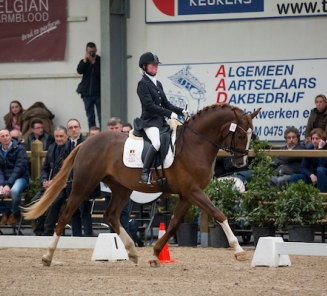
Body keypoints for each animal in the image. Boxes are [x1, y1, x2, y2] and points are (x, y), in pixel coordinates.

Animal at [23, 103, 262, 266]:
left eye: (252, 135)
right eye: (241, 135)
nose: (241, 162)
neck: (196, 143)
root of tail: (85, 142)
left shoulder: (187, 195)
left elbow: (174, 224)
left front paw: (156, 254)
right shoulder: (193, 191)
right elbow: (219, 214)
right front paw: (238, 249)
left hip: (121, 188)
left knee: (111, 215)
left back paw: (132, 251)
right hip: (84, 184)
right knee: (65, 215)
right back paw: (47, 256)